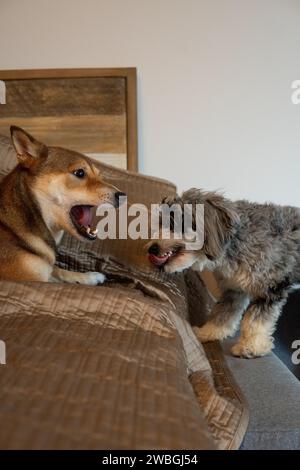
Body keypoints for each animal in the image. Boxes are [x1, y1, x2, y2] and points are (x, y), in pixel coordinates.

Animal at [0, 125, 125, 284]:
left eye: (99, 175)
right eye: (80, 173)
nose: (123, 196)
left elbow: (58, 270)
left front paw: (89, 276)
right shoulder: (31, 279)